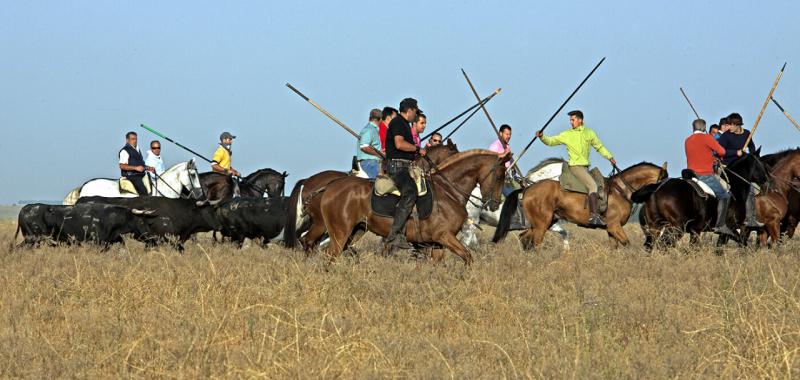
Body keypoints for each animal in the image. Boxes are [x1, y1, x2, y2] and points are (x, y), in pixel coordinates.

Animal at [310, 149, 510, 264]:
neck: (448, 191)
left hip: (356, 231)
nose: (495, 204)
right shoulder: (444, 236)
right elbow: (468, 257)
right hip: (340, 233)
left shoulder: (437, 244)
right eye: (500, 176)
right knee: (328, 254)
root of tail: (330, 186)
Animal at [494, 162, 668, 251]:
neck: (621, 190)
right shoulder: (614, 226)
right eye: (663, 181)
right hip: (542, 225)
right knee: (534, 243)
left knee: (524, 239)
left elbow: (614, 248)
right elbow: (627, 244)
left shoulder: (611, 230)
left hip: (542, 223)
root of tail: (527, 188)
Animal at [632, 149, 768, 252]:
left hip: (654, 227)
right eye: (761, 164)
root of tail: (658, 187)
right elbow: (739, 243)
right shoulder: (729, 228)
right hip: (676, 229)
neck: (734, 187)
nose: (766, 182)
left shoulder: (695, 231)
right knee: (663, 245)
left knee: (651, 246)